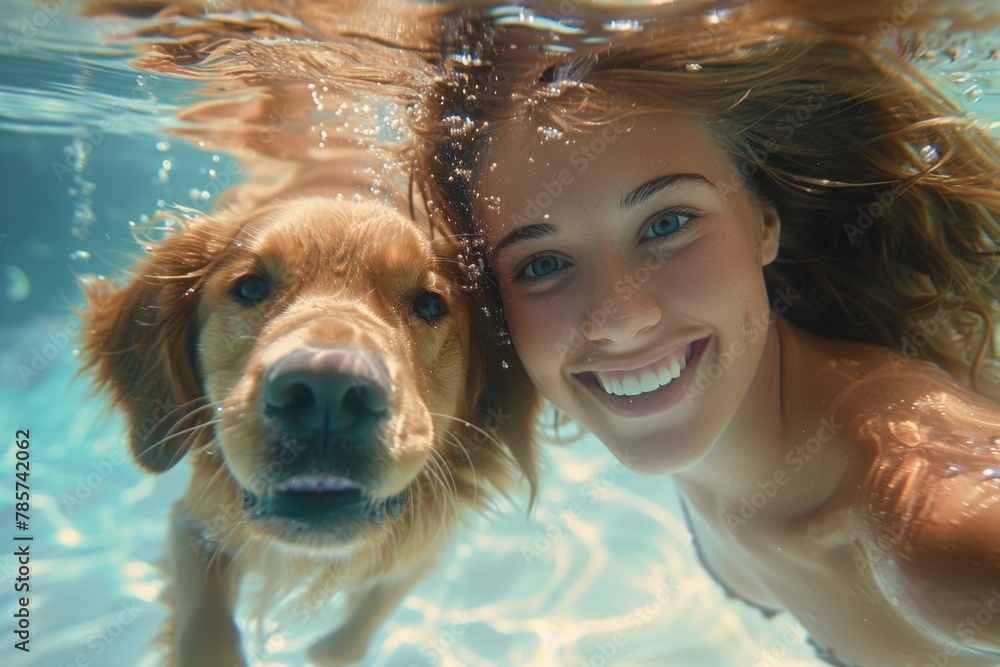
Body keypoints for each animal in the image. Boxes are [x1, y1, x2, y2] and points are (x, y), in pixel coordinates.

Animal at [78, 198, 540, 667]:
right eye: (250, 288)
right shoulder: (194, 524)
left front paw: (329, 648)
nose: (327, 395)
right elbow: (207, 633)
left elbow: (359, 626)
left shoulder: (422, 549)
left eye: (430, 304)